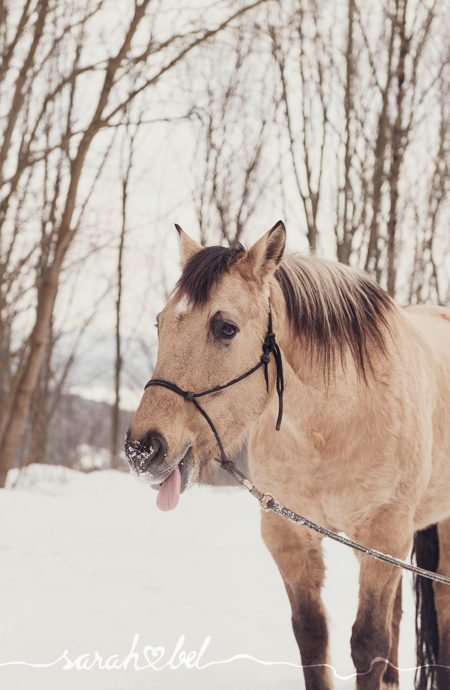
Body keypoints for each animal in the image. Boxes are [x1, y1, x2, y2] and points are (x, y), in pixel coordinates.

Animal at [125, 222, 450, 688]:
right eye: (160, 323)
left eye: (226, 328)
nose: (142, 448)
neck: (331, 426)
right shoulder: (289, 533)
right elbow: (312, 633)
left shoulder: (385, 532)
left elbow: (367, 642)